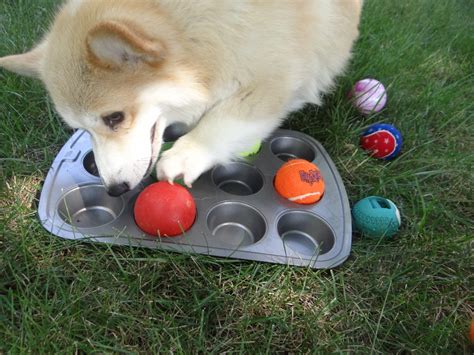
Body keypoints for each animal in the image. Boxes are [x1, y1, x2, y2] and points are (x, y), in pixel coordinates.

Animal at [0, 0, 362, 196]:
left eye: (114, 117)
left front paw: (186, 155)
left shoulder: (273, 80)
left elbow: (222, 121)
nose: (115, 190)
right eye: (82, 130)